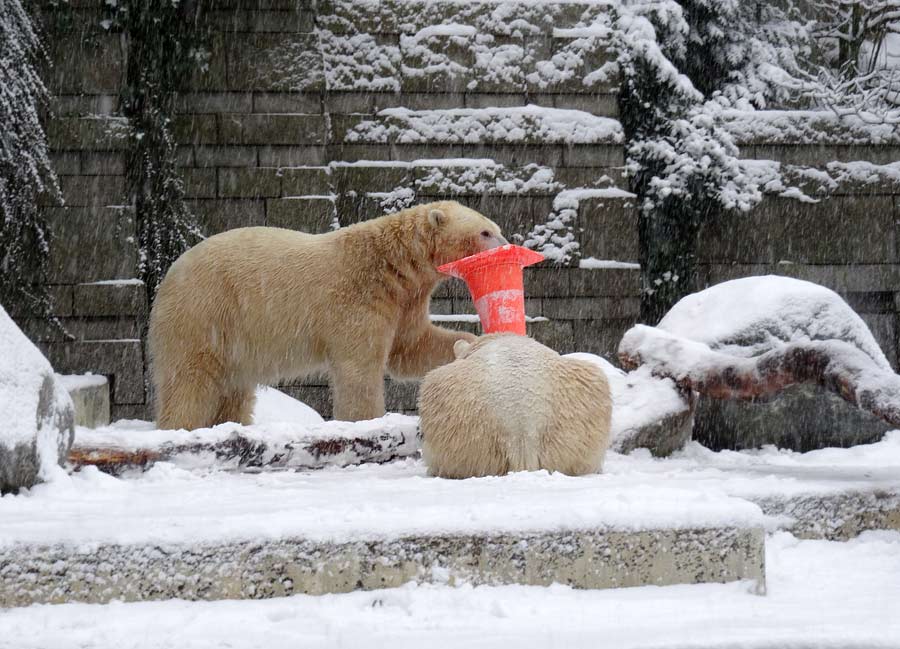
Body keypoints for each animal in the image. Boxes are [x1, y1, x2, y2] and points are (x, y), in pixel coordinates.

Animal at [148, 200, 506, 428]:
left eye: (495, 227)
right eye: (485, 232)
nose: (506, 244)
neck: (390, 264)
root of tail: (169, 276)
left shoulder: (405, 301)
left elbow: (410, 347)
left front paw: (472, 344)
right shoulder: (358, 299)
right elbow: (359, 367)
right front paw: (365, 420)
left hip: (233, 340)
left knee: (234, 391)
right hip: (205, 312)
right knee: (190, 378)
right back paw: (180, 426)